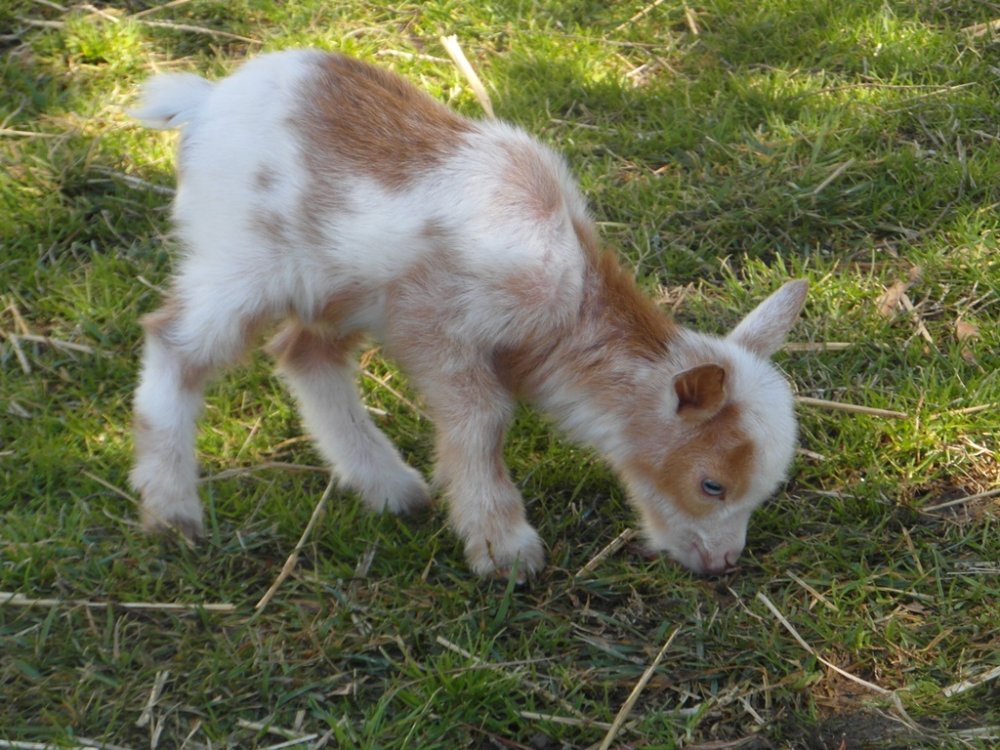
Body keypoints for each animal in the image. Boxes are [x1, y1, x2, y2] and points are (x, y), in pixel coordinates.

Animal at [131, 50, 804, 580]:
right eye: (711, 484)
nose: (722, 564)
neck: (568, 296)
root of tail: (206, 102)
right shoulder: (438, 325)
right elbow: (483, 422)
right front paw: (505, 550)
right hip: (240, 264)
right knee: (176, 344)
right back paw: (172, 513)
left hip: (337, 291)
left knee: (305, 354)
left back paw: (392, 490)